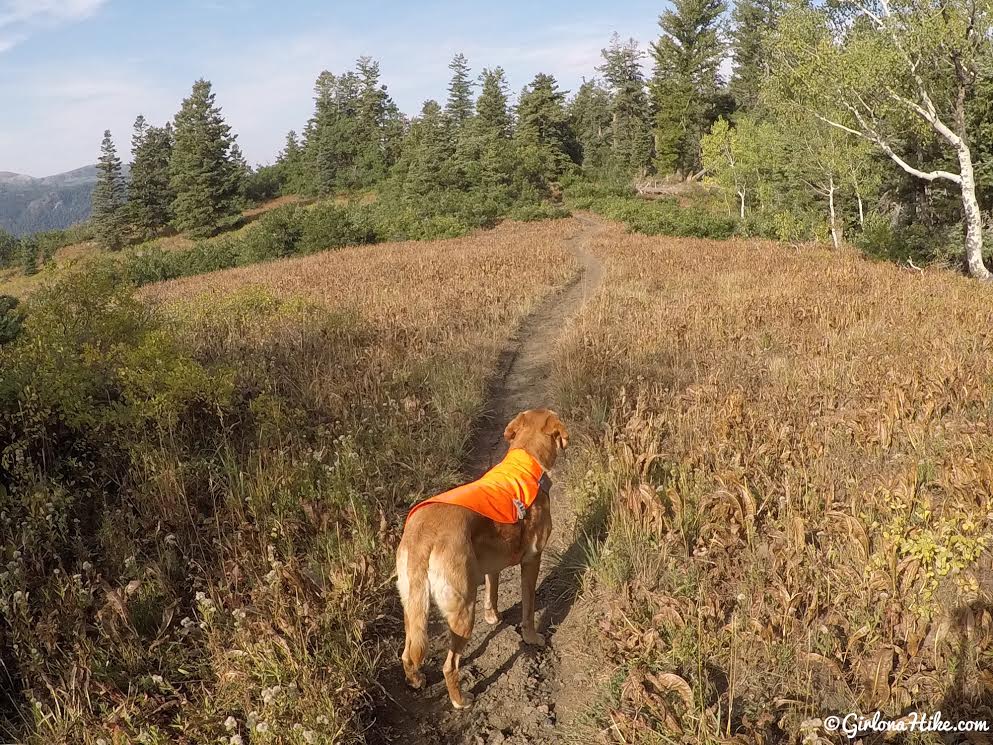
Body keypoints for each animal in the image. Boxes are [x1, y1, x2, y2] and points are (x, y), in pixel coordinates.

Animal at [394, 410, 564, 708]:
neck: (526, 457)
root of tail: (424, 534)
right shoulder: (532, 560)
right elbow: (529, 610)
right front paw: (532, 638)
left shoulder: (491, 564)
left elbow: (493, 592)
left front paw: (493, 616)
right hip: (462, 609)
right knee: (449, 666)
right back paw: (460, 700)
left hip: (412, 605)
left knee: (408, 652)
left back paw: (415, 680)